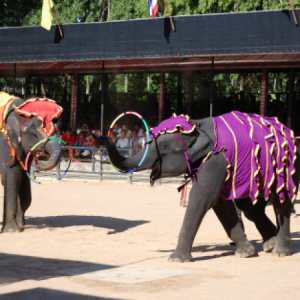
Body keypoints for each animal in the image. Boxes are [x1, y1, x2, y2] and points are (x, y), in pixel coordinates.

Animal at [0, 92, 62, 233]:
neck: (18, 105)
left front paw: (21, 224)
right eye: (33, 127)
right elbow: (13, 173)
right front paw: (12, 230)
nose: (40, 156)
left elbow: (24, 174)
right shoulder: (5, 142)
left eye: (57, 127)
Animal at [99, 111, 300, 262]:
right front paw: (246, 253)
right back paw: (270, 243)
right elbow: (220, 204)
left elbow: (201, 199)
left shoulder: (215, 160)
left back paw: (280, 252)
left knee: (280, 203)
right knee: (249, 207)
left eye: (163, 146)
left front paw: (177, 259)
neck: (196, 125)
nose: (102, 136)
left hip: (287, 165)